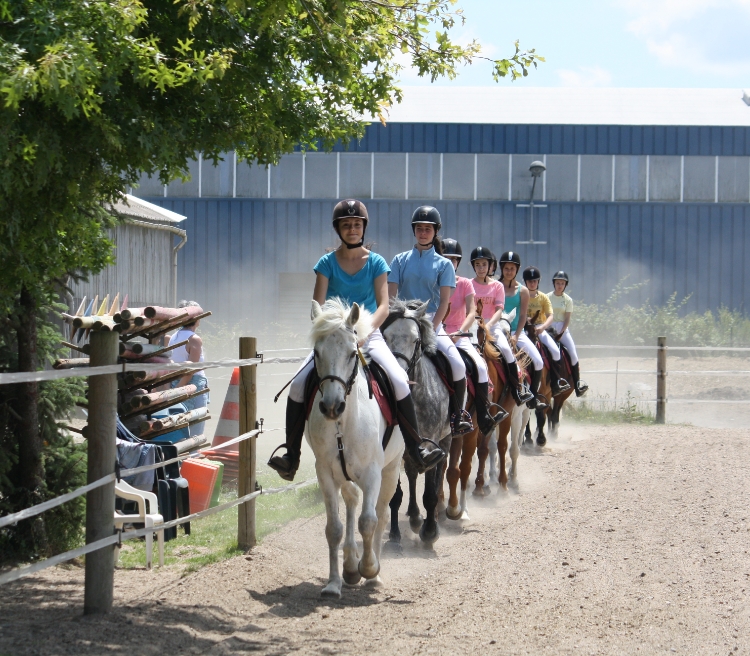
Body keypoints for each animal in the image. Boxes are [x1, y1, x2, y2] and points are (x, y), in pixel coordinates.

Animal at [306, 300, 406, 596]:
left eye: (352, 353)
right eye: (317, 353)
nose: (331, 406)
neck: (344, 422)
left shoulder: (373, 473)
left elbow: (368, 521)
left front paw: (370, 569)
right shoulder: (326, 473)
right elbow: (334, 528)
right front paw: (333, 583)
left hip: (391, 470)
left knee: (381, 514)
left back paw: (372, 576)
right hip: (345, 473)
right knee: (351, 501)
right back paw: (350, 566)